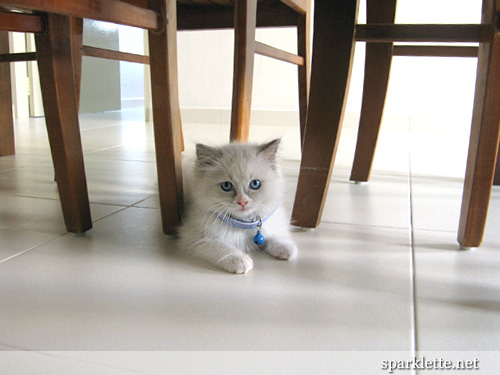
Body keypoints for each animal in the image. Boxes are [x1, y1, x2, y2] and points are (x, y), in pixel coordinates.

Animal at [179, 140, 296, 274]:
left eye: (255, 184)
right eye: (226, 186)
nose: (242, 202)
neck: (243, 225)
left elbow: (273, 236)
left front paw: (285, 248)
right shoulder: (196, 238)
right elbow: (222, 246)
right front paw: (239, 260)